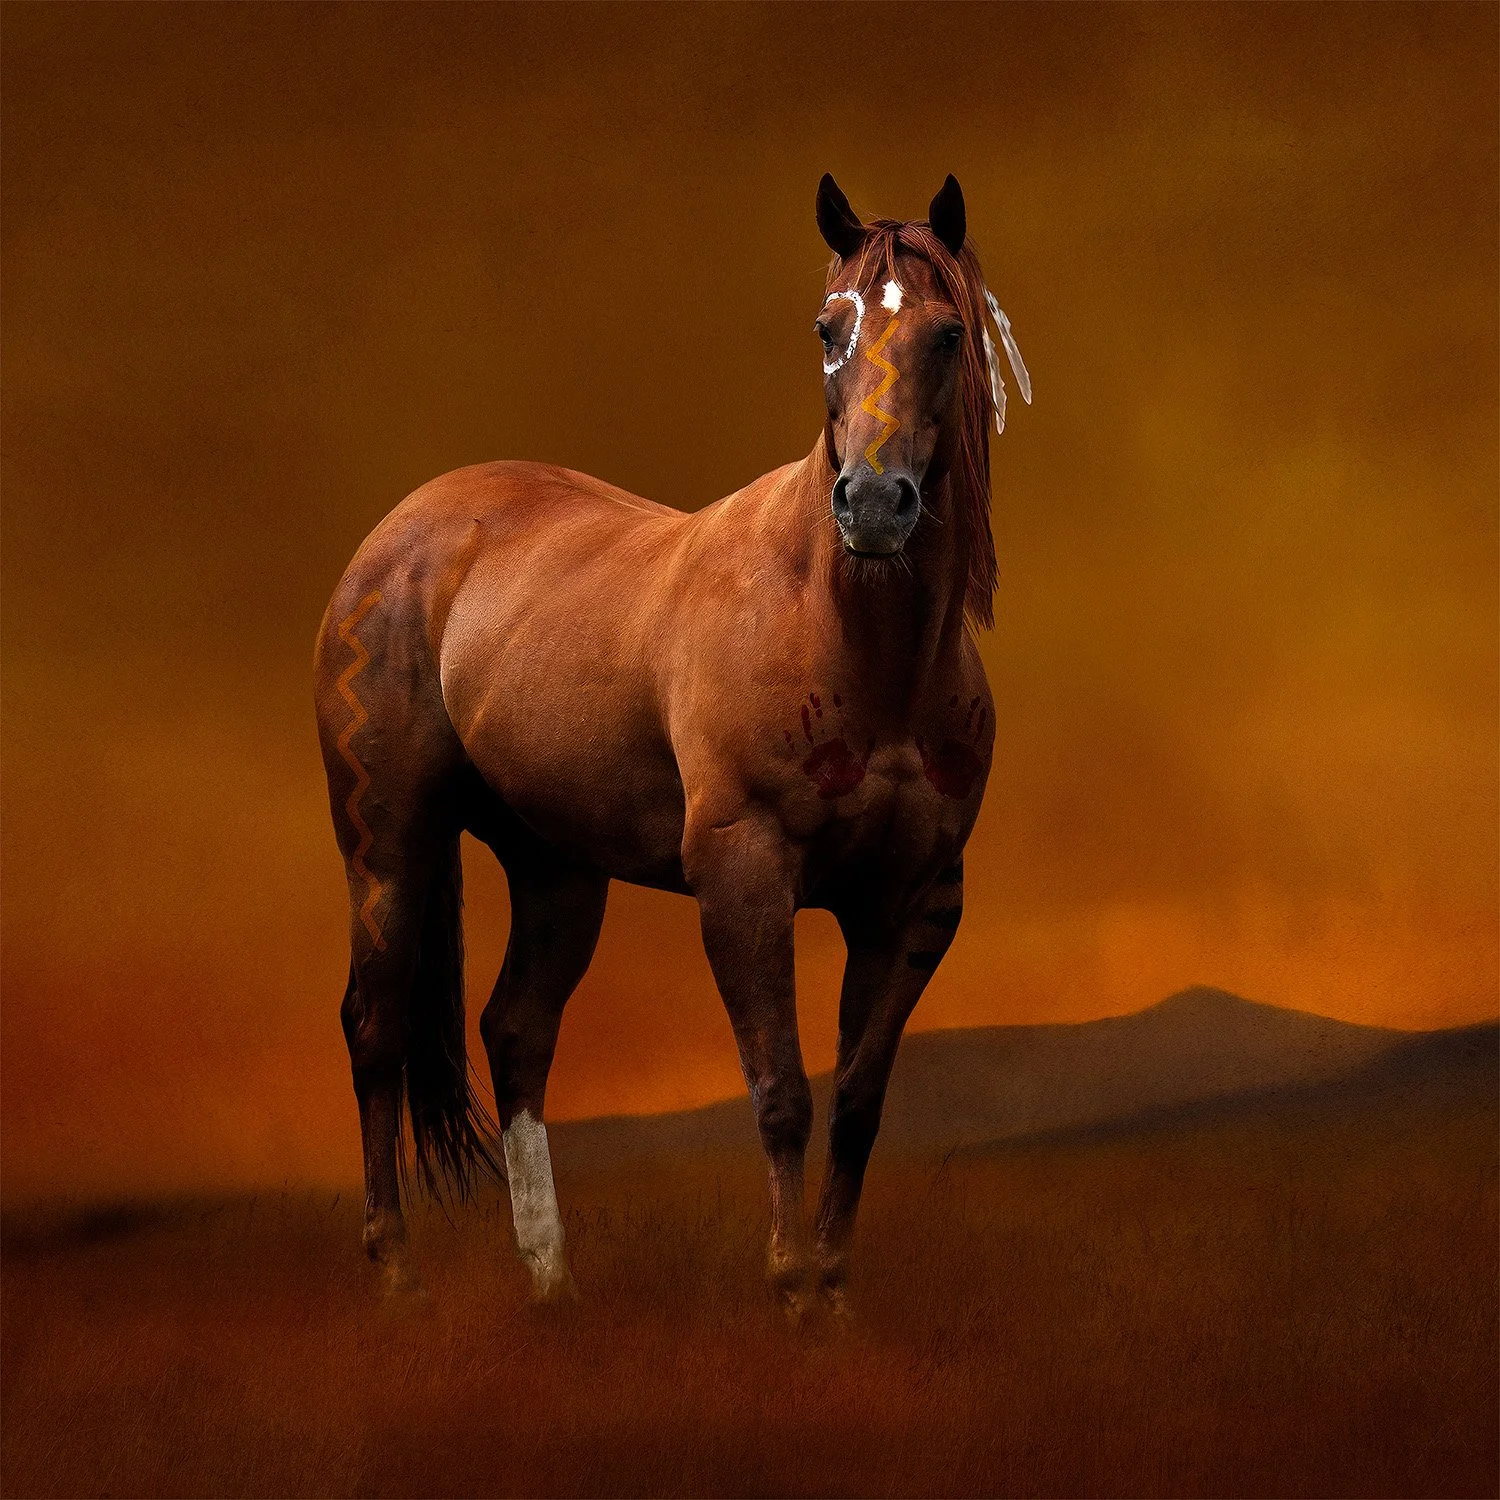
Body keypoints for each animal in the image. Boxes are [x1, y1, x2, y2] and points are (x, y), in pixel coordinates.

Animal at [314, 172, 1030, 1318]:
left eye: (950, 333)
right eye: (827, 328)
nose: (875, 504)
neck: (846, 633)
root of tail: (405, 531)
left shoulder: (914, 903)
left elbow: (861, 1103)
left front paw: (834, 1297)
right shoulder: (744, 870)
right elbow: (782, 1093)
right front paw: (790, 1291)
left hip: (556, 865)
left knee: (516, 1031)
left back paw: (554, 1284)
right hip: (387, 840)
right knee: (374, 1027)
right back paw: (400, 1278)